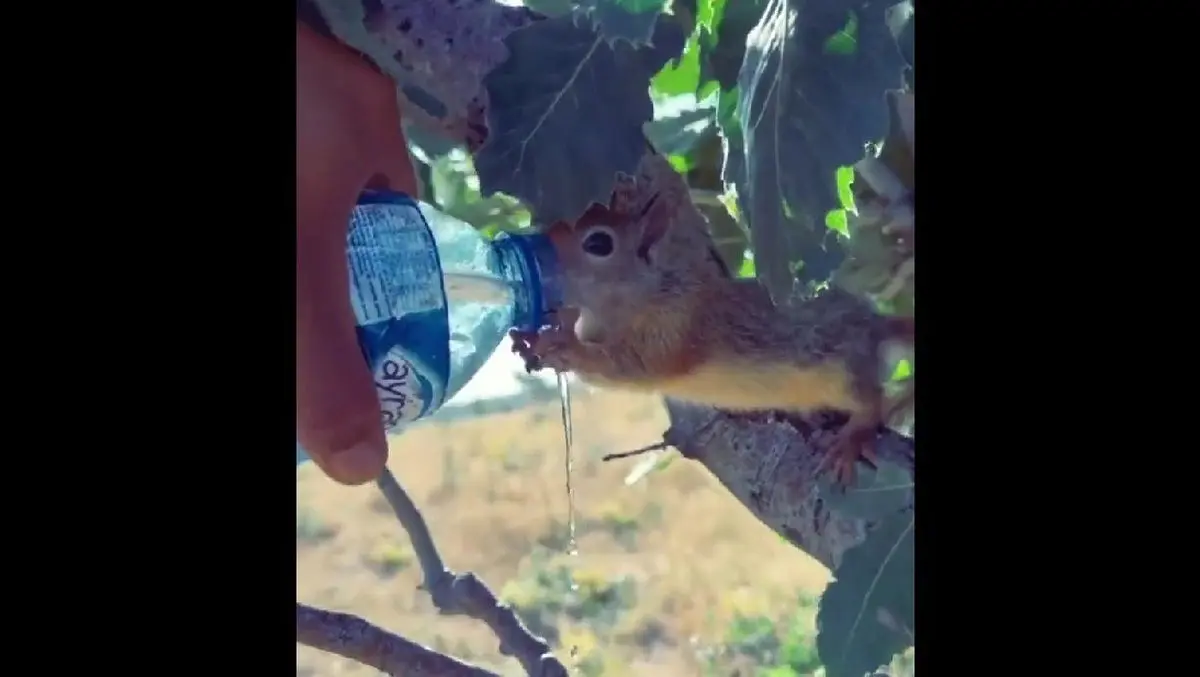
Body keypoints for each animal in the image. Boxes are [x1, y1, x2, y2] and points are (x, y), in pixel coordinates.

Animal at [511, 151, 912, 487]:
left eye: (598, 244)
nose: (535, 250)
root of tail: (874, 325)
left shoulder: (677, 324)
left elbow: (628, 366)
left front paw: (562, 344)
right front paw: (540, 334)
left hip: (841, 366)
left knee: (871, 399)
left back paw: (853, 436)